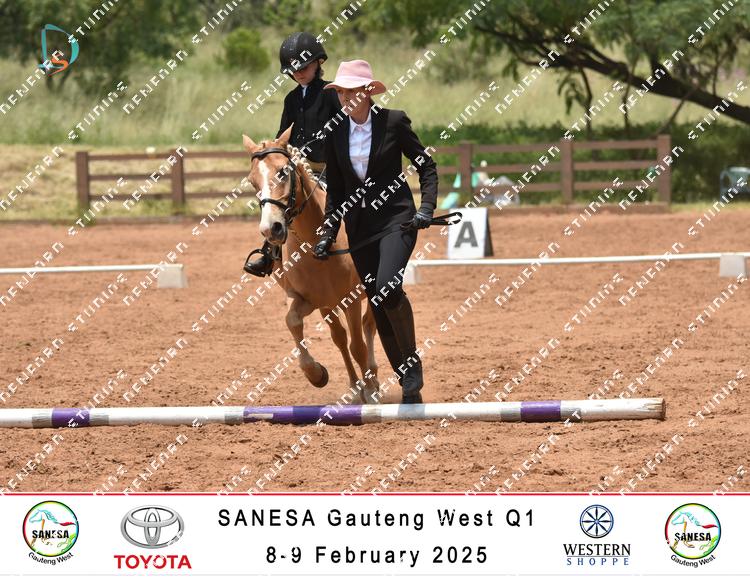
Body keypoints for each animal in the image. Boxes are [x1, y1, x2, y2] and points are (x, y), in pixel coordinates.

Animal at [242, 126, 381, 404]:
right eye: (253, 182)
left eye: (283, 172)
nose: (271, 229)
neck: (316, 242)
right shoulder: (305, 299)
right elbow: (293, 322)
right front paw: (317, 374)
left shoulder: (350, 299)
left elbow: (358, 347)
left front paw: (370, 392)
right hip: (328, 305)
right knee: (340, 338)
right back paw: (354, 387)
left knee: (368, 327)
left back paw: (372, 380)